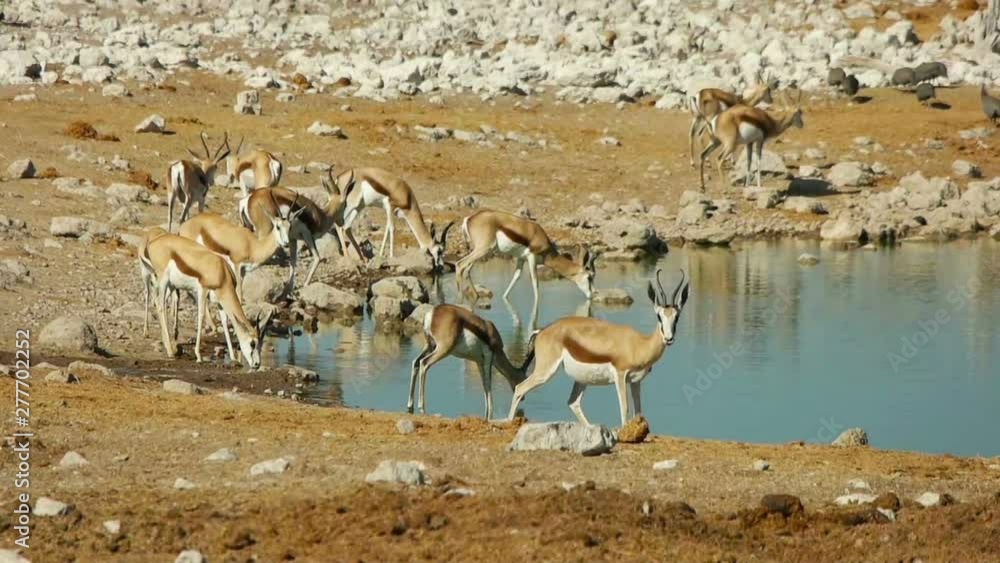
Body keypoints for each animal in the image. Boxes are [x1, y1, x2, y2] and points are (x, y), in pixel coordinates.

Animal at [138, 230, 270, 368]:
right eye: (252, 343)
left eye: (260, 344)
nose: (257, 364)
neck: (222, 273)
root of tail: (153, 242)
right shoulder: (202, 290)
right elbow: (201, 315)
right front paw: (198, 356)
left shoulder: (220, 302)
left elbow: (225, 322)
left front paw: (233, 358)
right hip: (163, 281)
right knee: (160, 305)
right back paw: (169, 350)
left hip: (171, 285)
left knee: (159, 303)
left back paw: (168, 346)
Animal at [458, 212, 596, 306]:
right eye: (589, 277)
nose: (592, 294)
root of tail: (469, 218)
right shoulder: (531, 257)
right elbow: (535, 281)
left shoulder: (521, 259)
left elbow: (516, 277)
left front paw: (504, 297)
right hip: (483, 249)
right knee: (460, 264)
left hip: (481, 251)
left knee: (467, 270)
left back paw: (475, 296)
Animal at [508, 270, 688, 428]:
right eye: (659, 316)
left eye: (677, 317)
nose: (668, 338)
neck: (639, 345)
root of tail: (542, 331)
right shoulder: (620, 376)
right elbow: (625, 409)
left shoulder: (636, 381)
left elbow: (638, 412)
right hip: (545, 372)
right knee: (519, 388)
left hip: (581, 380)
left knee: (573, 402)